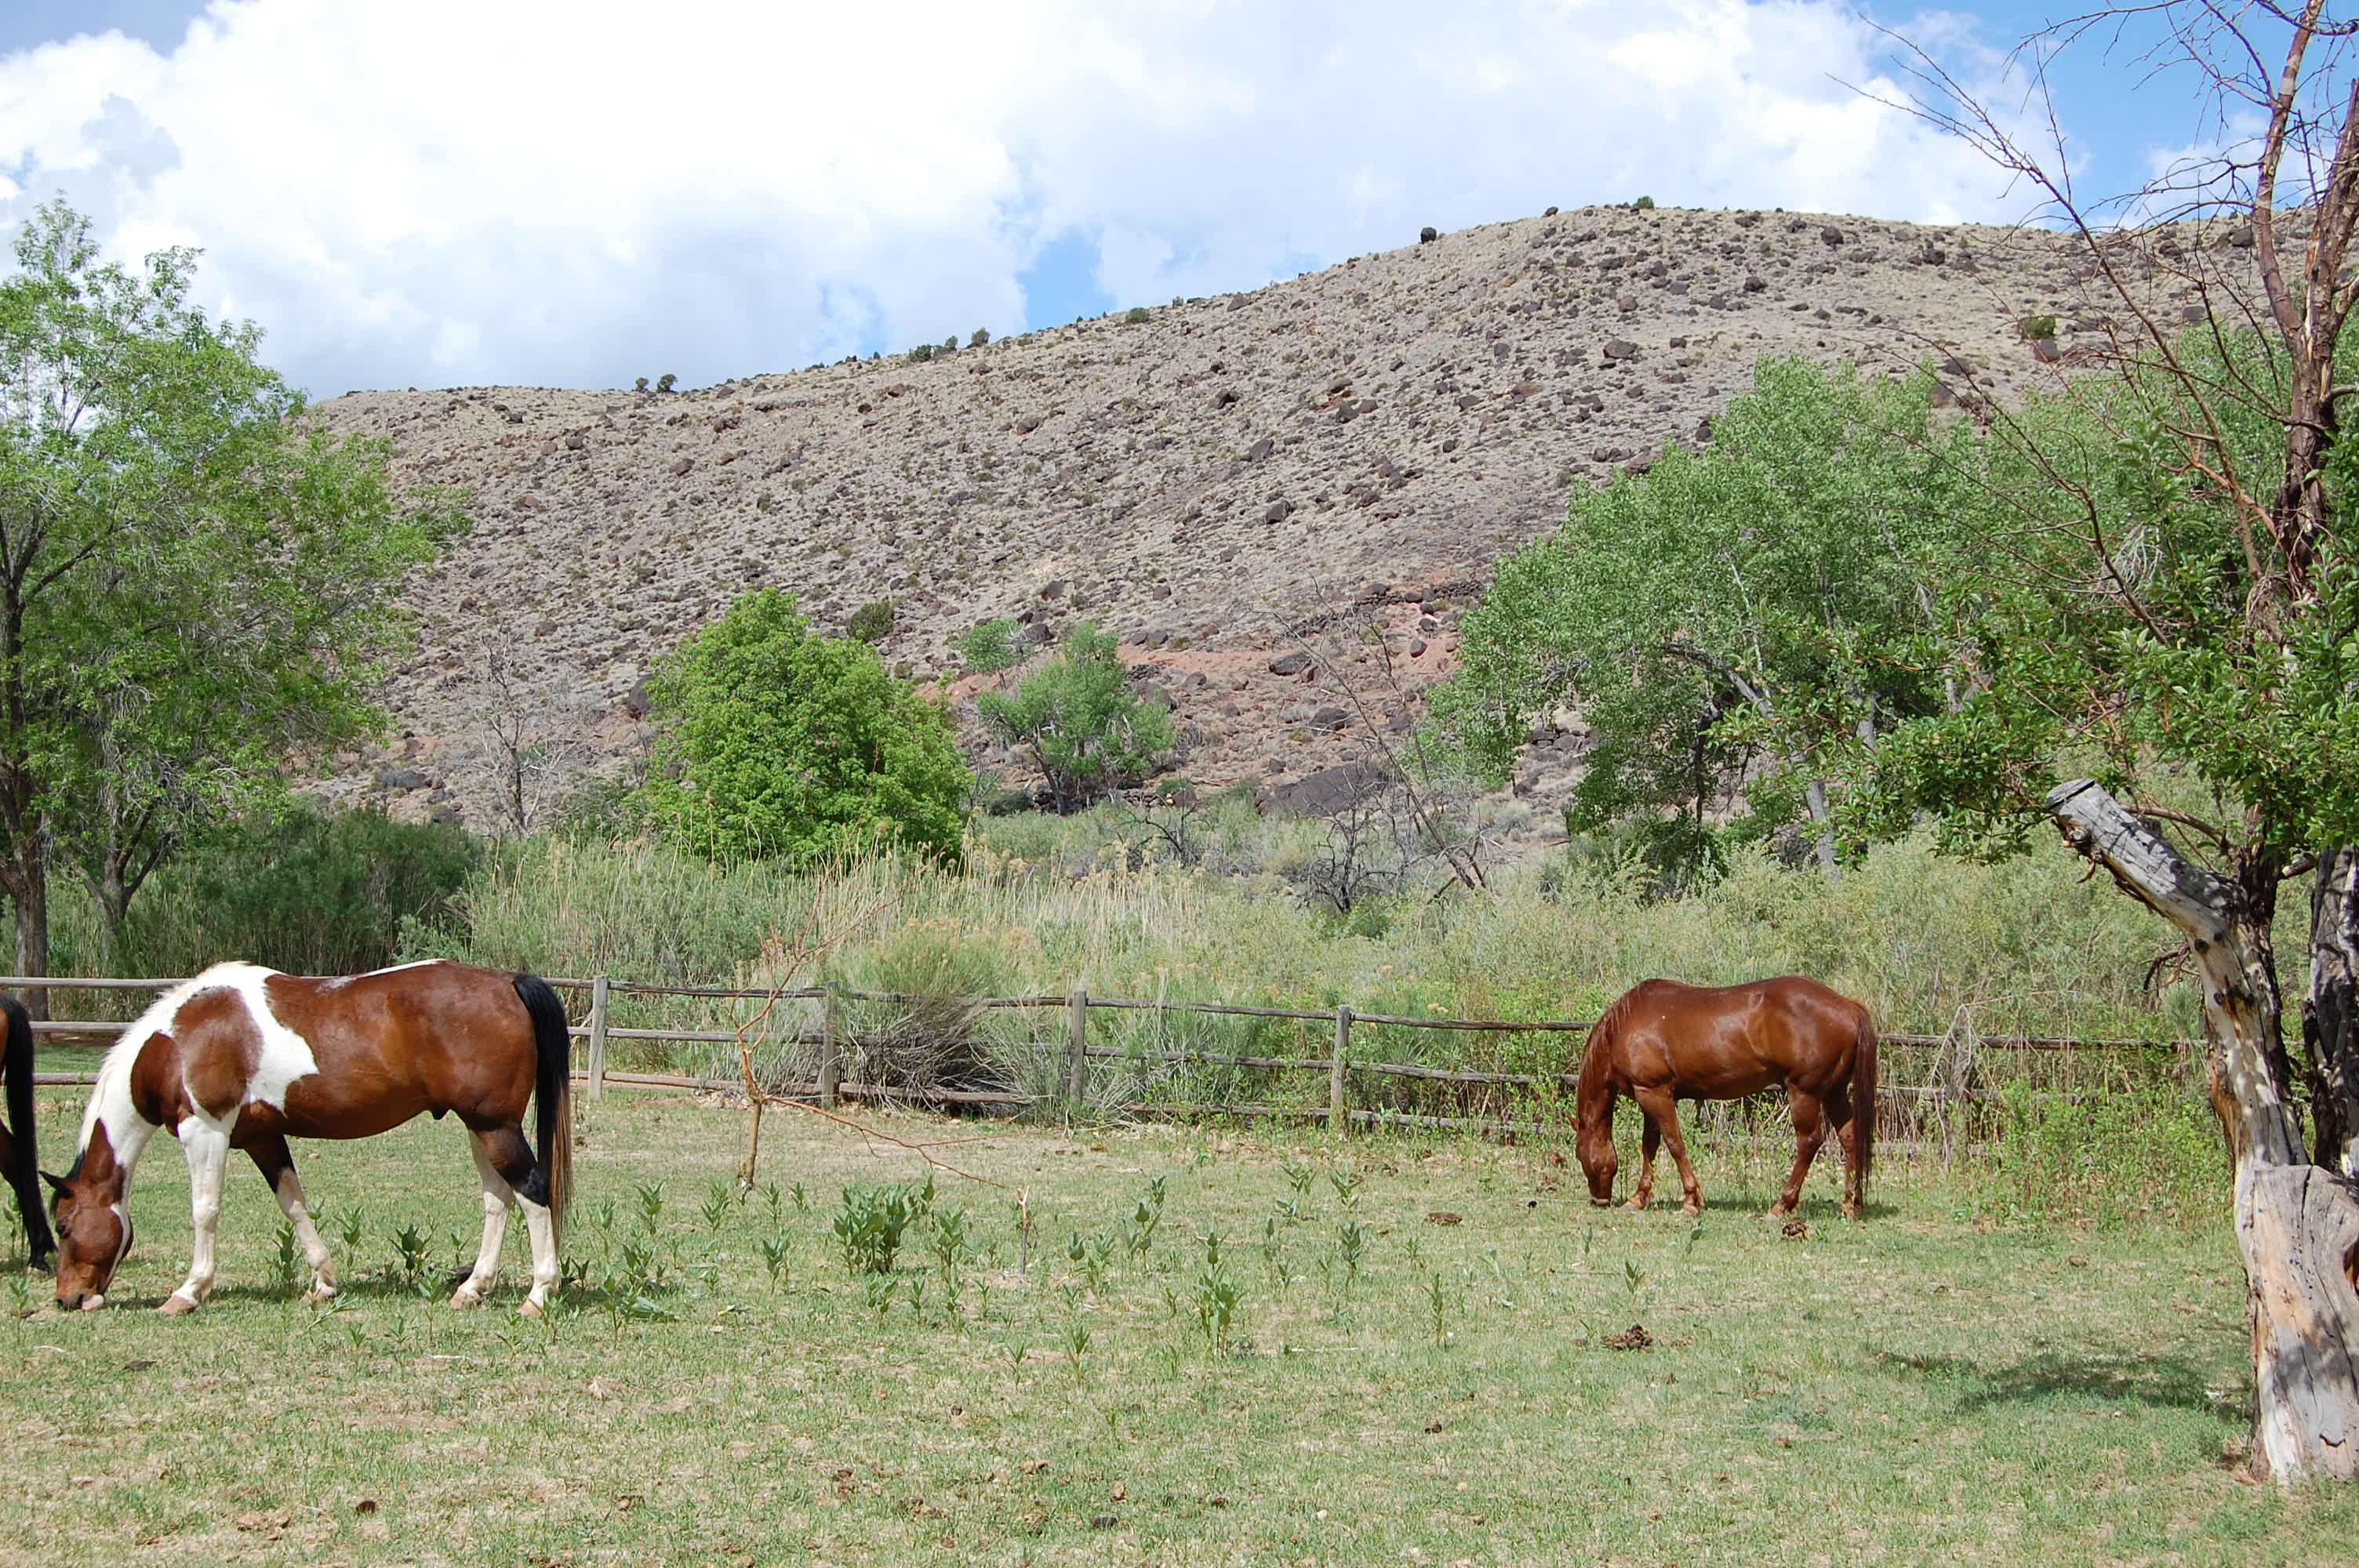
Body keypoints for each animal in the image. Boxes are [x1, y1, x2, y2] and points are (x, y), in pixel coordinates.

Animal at [46, 959, 571, 1315]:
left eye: (64, 1226)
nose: (70, 1298)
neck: (180, 1041)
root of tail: (507, 982)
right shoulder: (261, 1137)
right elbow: (294, 1204)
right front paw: (322, 1282)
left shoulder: (205, 1130)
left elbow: (205, 1210)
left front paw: (188, 1292)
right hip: (480, 1128)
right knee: (497, 1199)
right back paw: (472, 1288)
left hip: (494, 1126)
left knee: (532, 1190)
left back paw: (539, 1293)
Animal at [1574, 976, 1876, 1220]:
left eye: (1579, 1154)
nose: (1598, 1200)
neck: (1624, 1026)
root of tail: (1847, 1006)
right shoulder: (1650, 1095)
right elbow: (1650, 1145)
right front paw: (1638, 1198)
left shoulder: (1655, 1093)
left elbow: (1674, 1143)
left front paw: (1691, 1201)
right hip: (1834, 1091)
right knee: (1850, 1137)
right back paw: (1850, 1206)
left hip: (1805, 1092)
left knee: (1809, 1142)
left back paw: (1781, 1205)